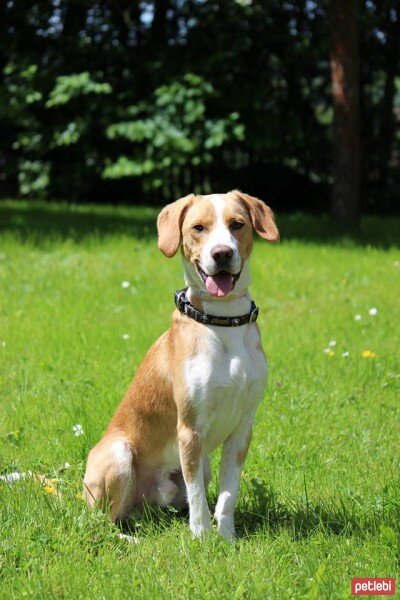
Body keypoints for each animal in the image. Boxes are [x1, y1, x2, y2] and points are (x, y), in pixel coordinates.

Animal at [83, 191, 278, 540]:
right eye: (198, 227)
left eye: (237, 224)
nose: (222, 253)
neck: (223, 321)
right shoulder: (190, 430)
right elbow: (198, 498)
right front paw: (202, 540)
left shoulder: (242, 429)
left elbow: (228, 494)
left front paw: (227, 538)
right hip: (119, 456)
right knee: (105, 522)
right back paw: (129, 539)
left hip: (201, 466)